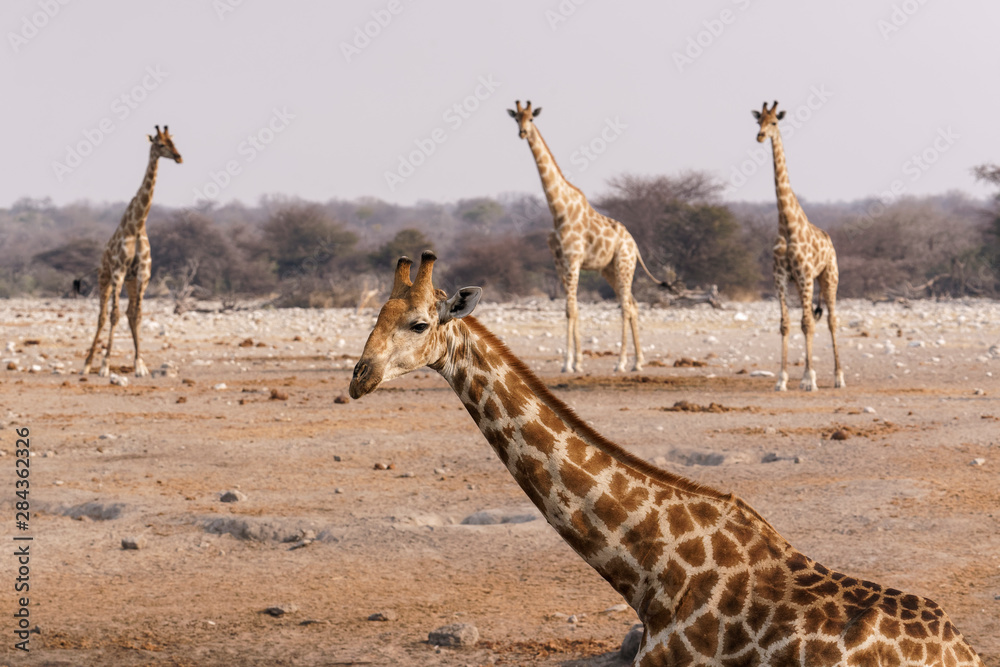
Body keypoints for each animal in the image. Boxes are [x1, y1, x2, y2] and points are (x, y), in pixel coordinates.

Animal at [82, 125, 182, 378]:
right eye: (160, 144)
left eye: (173, 142)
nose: (179, 157)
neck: (137, 225)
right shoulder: (118, 272)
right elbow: (114, 315)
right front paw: (105, 366)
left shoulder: (142, 275)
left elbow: (137, 316)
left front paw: (140, 365)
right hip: (105, 278)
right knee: (102, 316)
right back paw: (87, 364)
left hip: (129, 282)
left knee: (128, 313)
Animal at [507, 100, 673, 373]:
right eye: (516, 118)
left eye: (531, 118)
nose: (522, 133)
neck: (558, 210)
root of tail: (634, 244)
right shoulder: (559, 262)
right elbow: (572, 308)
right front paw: (577, 361)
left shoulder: (573, 260)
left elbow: (570, 309)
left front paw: (568, 363)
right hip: (609, 270)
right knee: (634, 305)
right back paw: (638, 362)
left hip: (624, 264)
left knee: (626, 307)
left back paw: (622, 362)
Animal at [754, 100, 844, 392]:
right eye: (758, 120)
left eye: (774, 122)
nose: (760, 136)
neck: (786, 224)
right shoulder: (781, 277)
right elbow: (785, 324)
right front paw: (781, 379)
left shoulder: (804, 275)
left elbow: (806, 324)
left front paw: (808, 379)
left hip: (829, 277)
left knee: (831, 320)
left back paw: (839, 377)